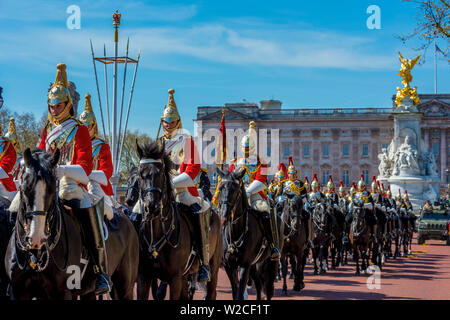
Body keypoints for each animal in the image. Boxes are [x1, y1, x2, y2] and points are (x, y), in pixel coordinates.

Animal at [4, 148, 139, 300]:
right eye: (24, 188)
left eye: (52, 189)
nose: (36, 238)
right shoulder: (17, 291)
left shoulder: (63, 292)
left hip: (125, 287)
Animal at [135, 140, 223, 300]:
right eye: (140, 174)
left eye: (161, 173)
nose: (152, 207)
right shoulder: (144, 276)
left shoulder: (175, 278)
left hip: (213, 268)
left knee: (211, 291)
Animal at [216, 168, 284, 300]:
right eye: (221, 188)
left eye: (235, 189)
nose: (223, 218)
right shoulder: (229, 266)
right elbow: (235, 293)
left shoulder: (244, 265)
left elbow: (239, 294)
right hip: (254, 264)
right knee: (258, 284)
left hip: (272, 262)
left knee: (268, 289)